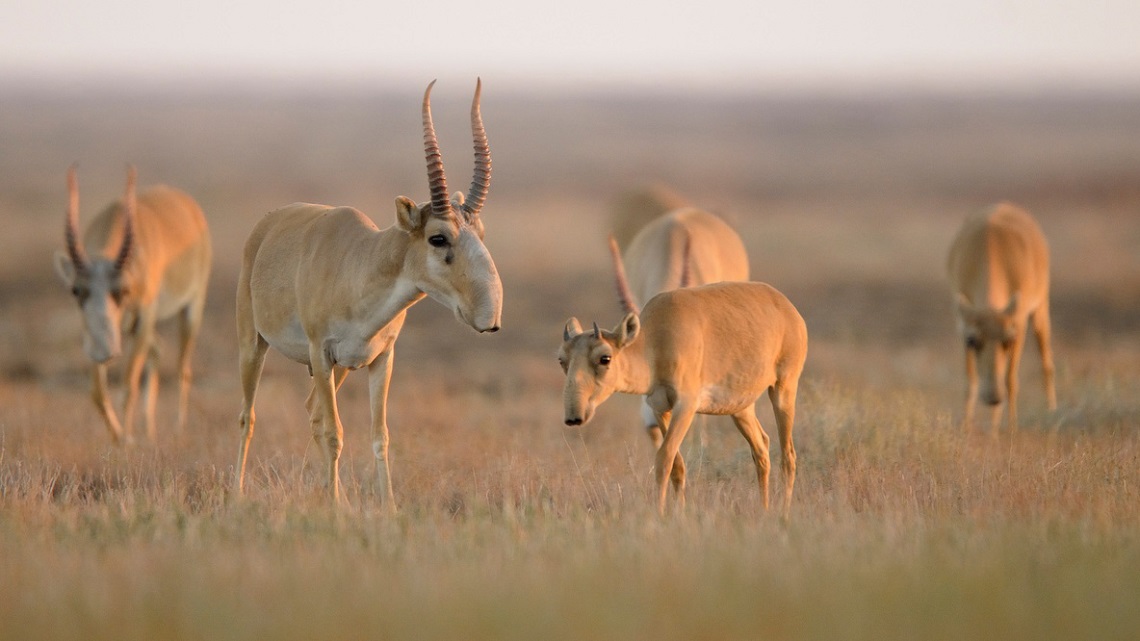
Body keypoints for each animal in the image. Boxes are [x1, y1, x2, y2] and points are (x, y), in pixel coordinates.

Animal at [54, 164, 214, 444]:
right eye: (76, 290)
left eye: (123, 290)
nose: (106, 351)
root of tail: (188, 206)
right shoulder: (93, 334)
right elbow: (97, 391)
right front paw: (119, 439)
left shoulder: (144, 318)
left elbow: (128, 385)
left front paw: (128, 440)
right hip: (130, 328)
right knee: (158, 349)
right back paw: (149, 431)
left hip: (190, 309)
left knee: (183, 368)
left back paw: (177, 429)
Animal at [235, 79, 503, 501]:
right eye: (438, 237)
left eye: (480, 232)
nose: (489, 316)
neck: (361, 264)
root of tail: (267, 225)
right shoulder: (321, 352)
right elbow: (335, 433)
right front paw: (335, 507)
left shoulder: (380, 360)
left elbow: (380, 437)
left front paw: (384, 506)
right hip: (254, 345)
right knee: (249, 416)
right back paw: (237, 493)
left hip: (337, 369)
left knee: (311, 411)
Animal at [558, 240, 807, 513]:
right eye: (562, 359)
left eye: (605, 358)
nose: (574, 417)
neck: (655, 341)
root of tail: (787, 307)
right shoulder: (659, 408)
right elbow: (676, 465)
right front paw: (679, 513)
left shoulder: (685, 406)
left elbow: (664, 458)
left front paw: (660, 514)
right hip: (740, 408)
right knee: (761, 448)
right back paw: (764, 509)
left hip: (783, 389)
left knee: (788, 455)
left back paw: (783, 513)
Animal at [943, 199, 1057, 428]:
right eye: (972, 340)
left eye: (1009, 340)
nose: (993, 397)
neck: (990, 249)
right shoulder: (962, 324)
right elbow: (970, 381)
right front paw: (966, 427)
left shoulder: (1018, 324)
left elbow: (1010, 379)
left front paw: (1011, 428)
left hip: (1040, 308)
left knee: (1046, 361)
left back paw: (1052, 410)